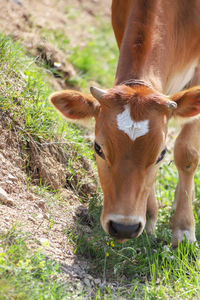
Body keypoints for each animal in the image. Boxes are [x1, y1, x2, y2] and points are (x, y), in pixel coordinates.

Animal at [49, 1, 200, 247]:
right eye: (98, 148)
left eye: (161, 154)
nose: (124, 227)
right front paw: (150, 216)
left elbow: (187, 153)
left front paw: (184, 229)